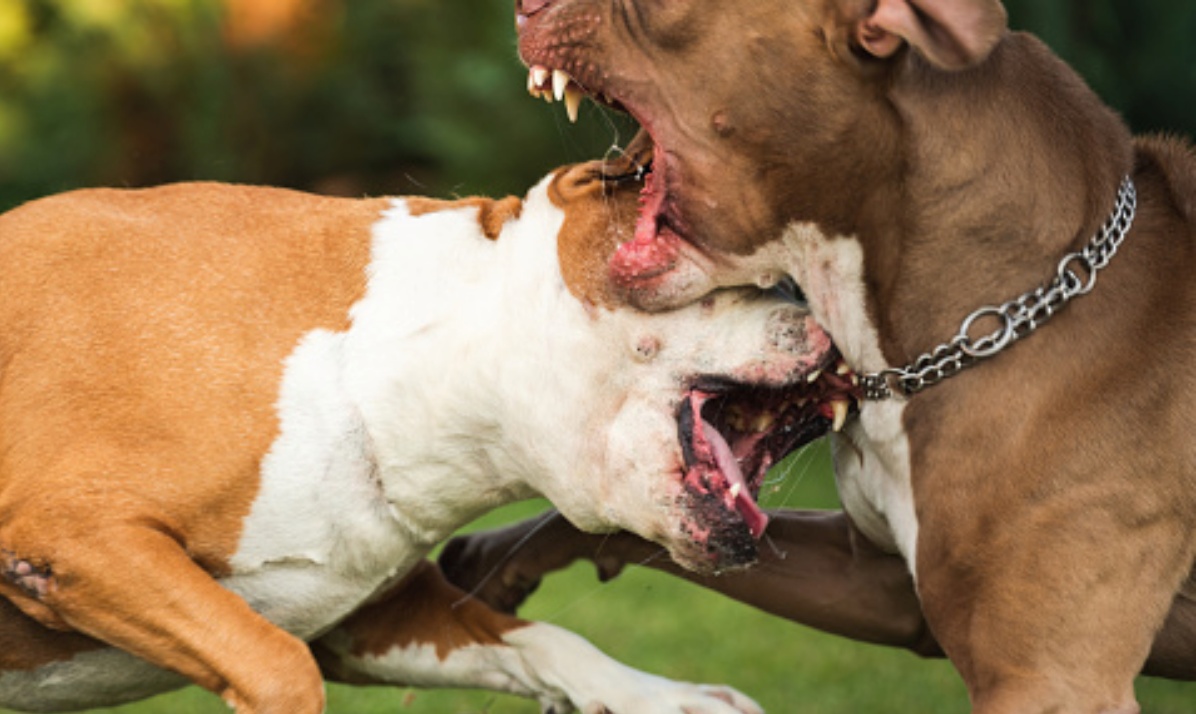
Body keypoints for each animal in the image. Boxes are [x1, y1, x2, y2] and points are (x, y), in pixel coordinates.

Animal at [0, 157, 856, 712]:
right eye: (772, 282)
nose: (837, 337)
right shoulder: (78, 536)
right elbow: (279, 668)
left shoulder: (366, 619)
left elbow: (546, 641)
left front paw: (668, 699)